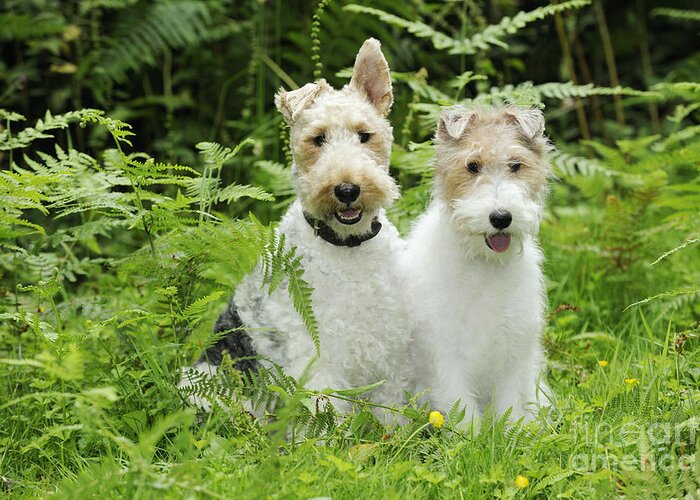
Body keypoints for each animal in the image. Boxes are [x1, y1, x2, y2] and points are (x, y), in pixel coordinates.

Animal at [186, 40, 412, 422]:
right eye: (317, 139)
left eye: (365, 135)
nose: (347, 190)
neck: (347, 248)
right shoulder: (314, 355)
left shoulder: (391, 349)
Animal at [402, 106, 556, 426]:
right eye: (472, 166)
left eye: (515, 165)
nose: (501, 217)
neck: (484, 264)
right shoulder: (446, 354)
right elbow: (462, 412)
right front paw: (471, 436)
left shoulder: (511, 354)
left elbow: (510, 410)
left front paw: (511, 433)